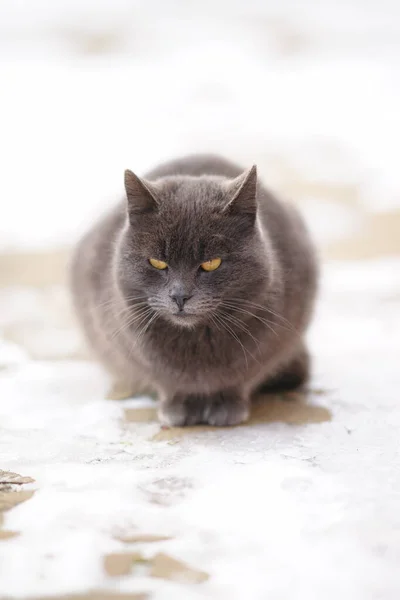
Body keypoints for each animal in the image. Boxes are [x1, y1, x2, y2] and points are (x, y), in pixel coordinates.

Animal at [69, 155, 318, 426]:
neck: (197, 339)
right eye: (157, 262)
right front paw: (177, 409)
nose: (179, 296)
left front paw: (225, 408)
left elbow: (240, 379)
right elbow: (168, 382)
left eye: (211, 263)